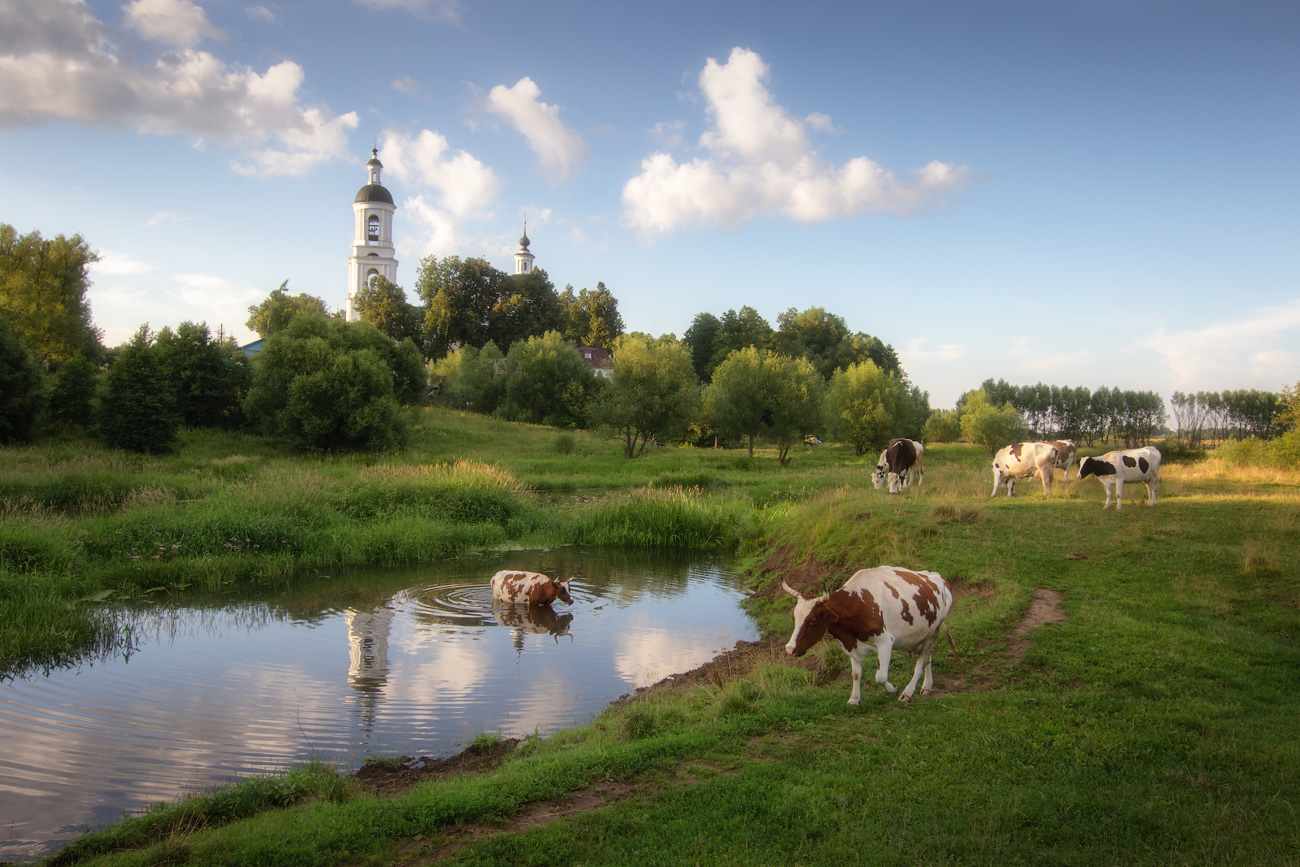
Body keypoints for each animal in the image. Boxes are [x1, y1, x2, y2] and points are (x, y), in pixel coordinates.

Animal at [780, 569, 956, 707]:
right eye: (794, 618)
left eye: (812, 621)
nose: (790, 649)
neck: (858, 603)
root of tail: (936, 576)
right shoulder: (851, 645)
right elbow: (856, 674)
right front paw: (854, 698)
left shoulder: (886, 642)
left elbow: (881, 677)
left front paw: (893, 688)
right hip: (920, 635)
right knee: (927, 658)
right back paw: (927, 686)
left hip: (934, 632)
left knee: (921, 661)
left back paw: (908, 692)